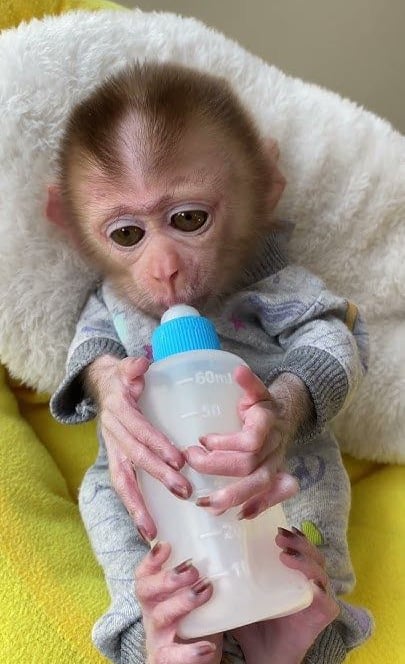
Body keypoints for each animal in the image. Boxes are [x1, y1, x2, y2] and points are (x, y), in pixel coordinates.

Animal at [47, 62, 372, 664]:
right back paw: (162, 627)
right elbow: (92, 344)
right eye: (128, 234)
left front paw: (266, 426)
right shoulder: (104, 296)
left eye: (189, 220)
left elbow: (332, 333)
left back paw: (294, 626)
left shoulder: (285, 279)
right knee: (109, 512)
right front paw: (122, 413)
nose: (165, 270)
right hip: (133, 529)